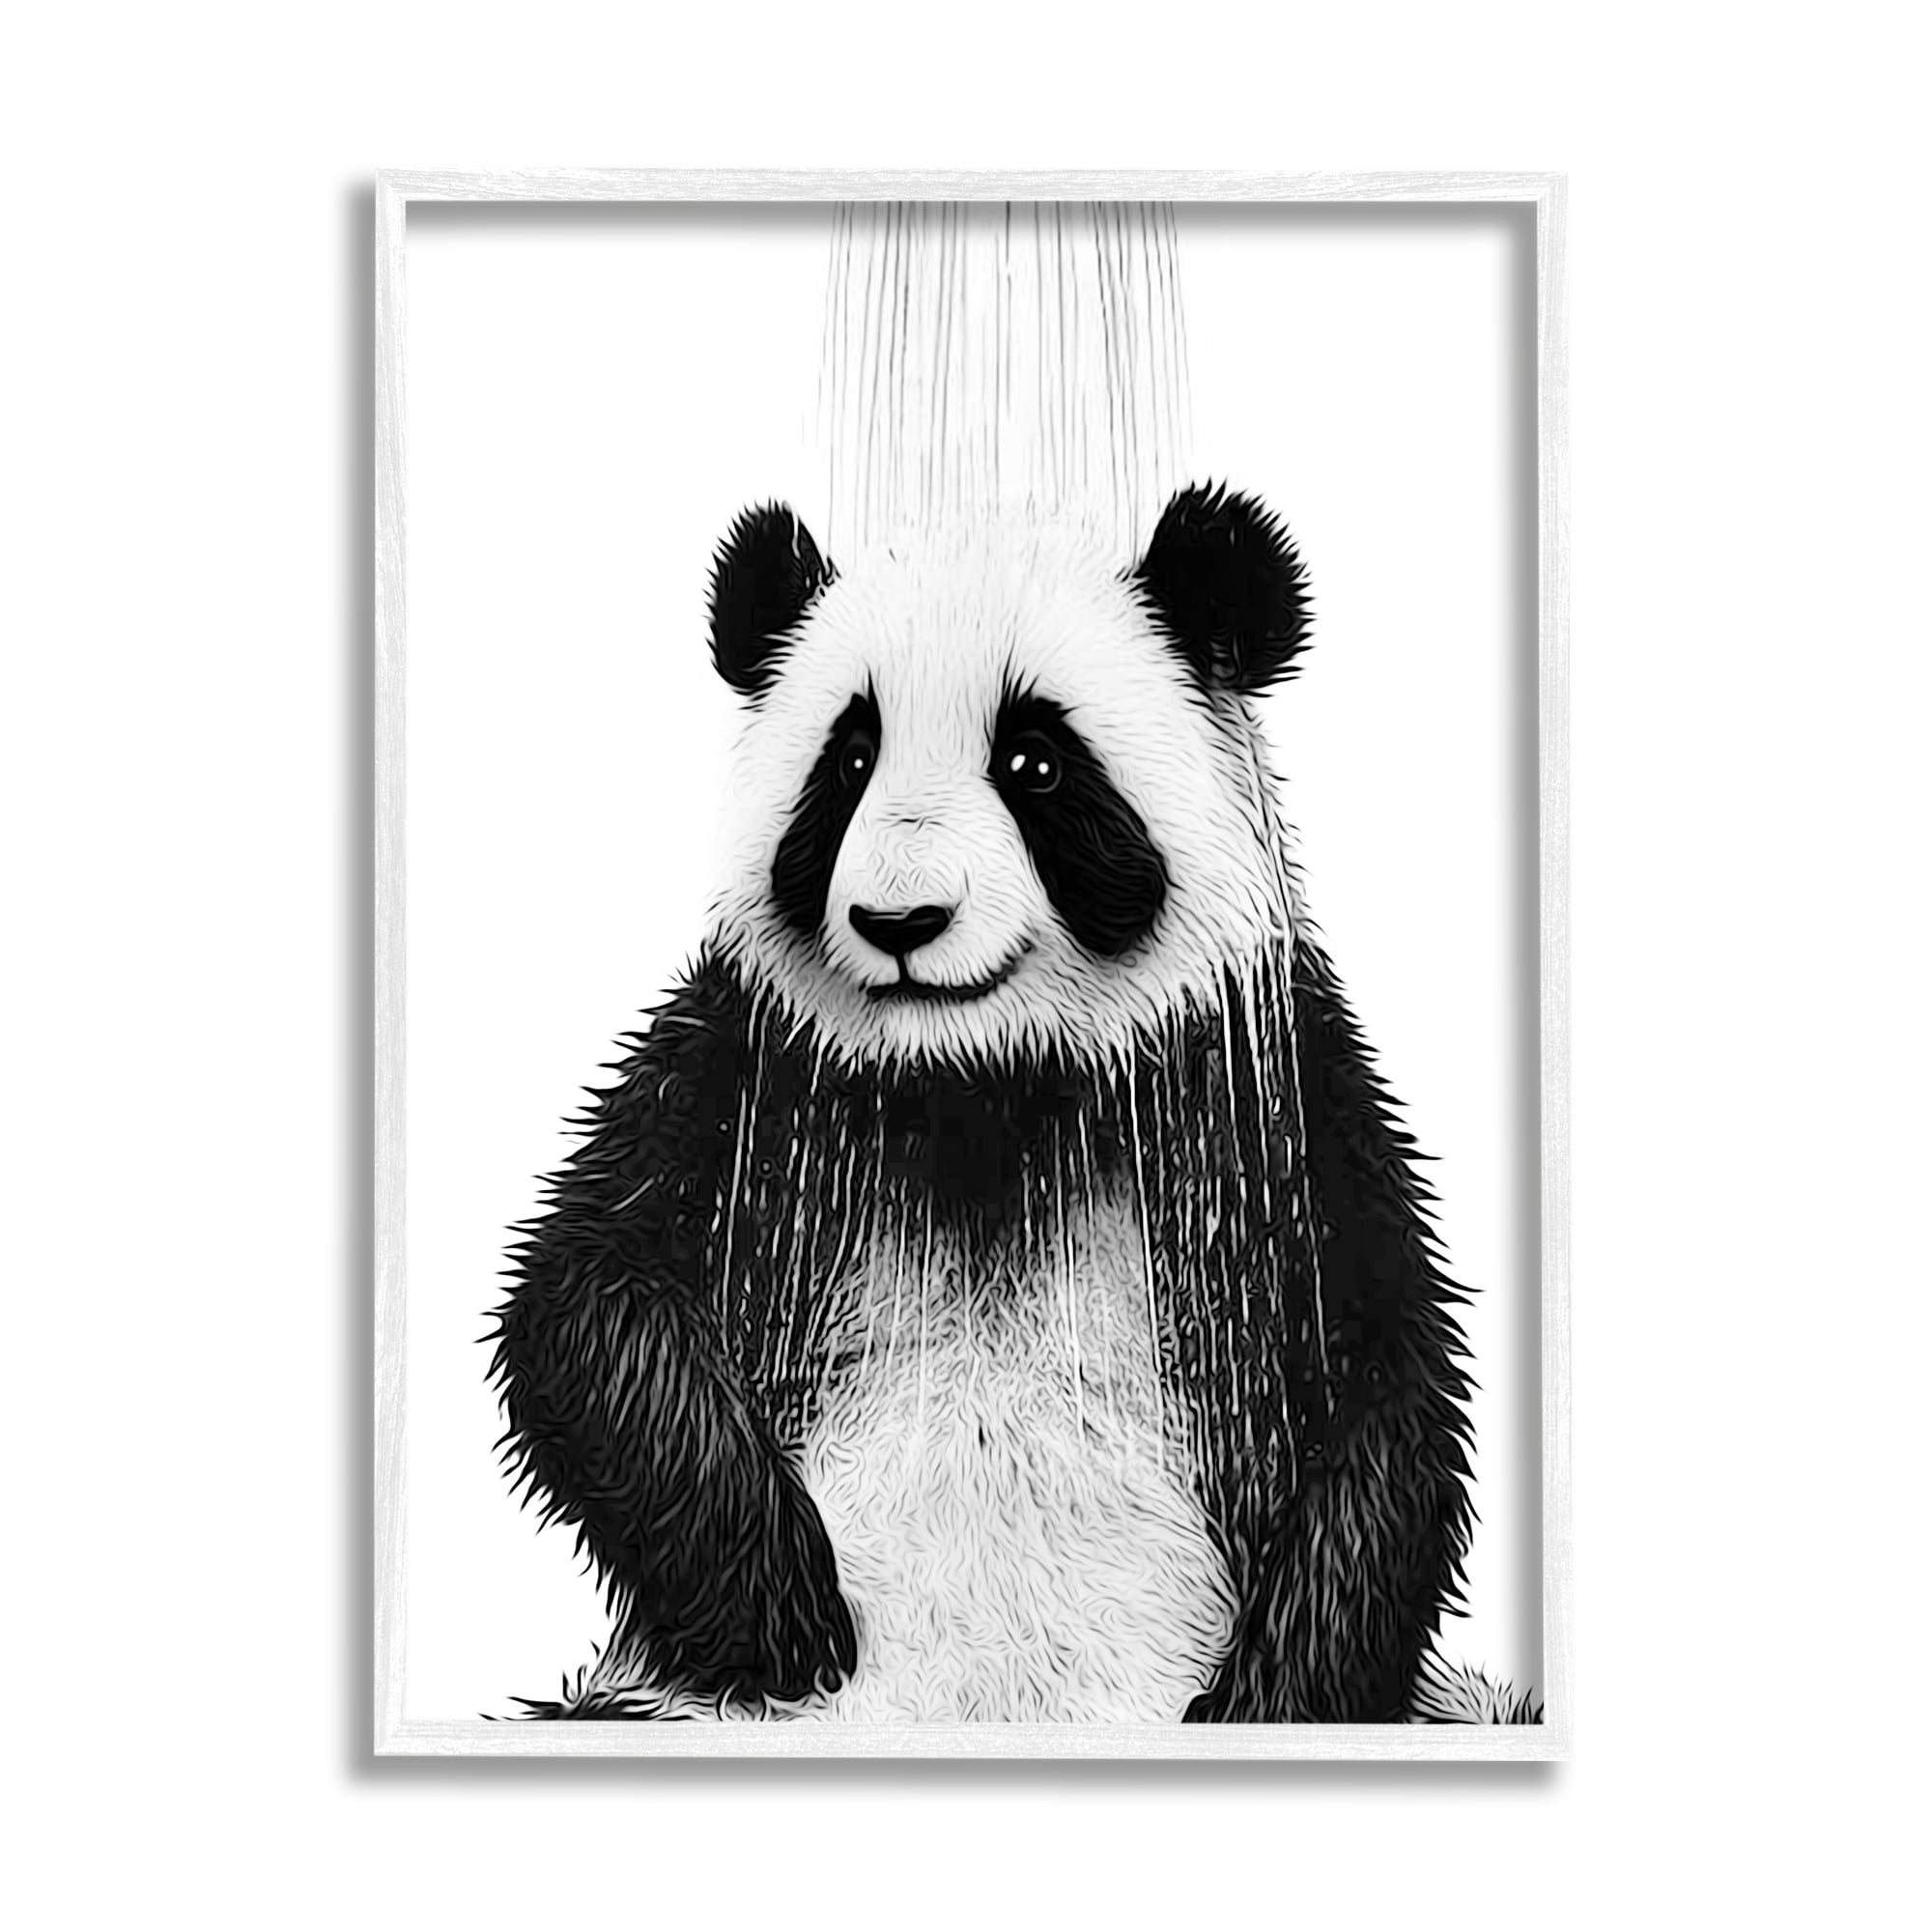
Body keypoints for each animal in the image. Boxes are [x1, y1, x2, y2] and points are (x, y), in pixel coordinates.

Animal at [489, 484, 1477, 1724]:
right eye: (848, 758)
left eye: (1035, 761)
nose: (900, 921)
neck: (980, 1081)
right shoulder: (750, 1059)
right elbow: (588, 1295)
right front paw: (784, 1609)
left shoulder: (1259, 1084)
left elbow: (1386, 1381)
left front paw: (1266, 1697)